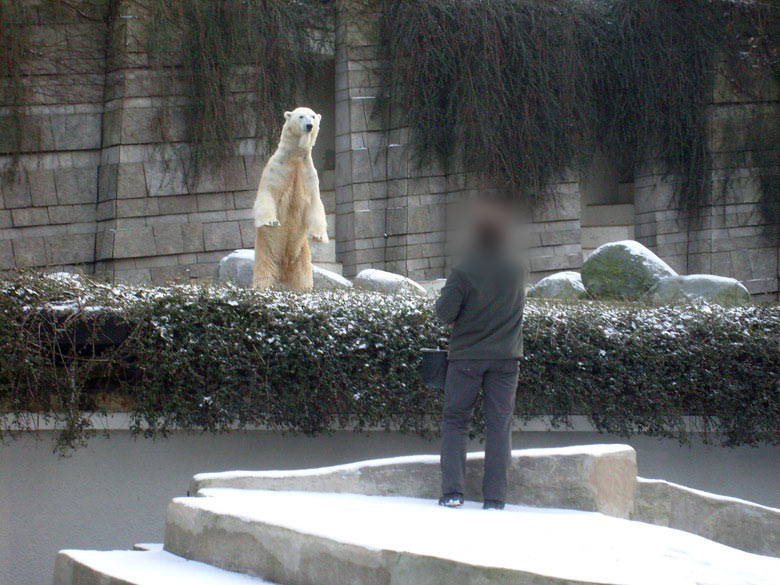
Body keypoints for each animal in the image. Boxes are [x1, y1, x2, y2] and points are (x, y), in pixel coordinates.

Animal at [253, 107, 330, 290]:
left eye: (313, 116)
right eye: (301, 116)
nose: (309, 126)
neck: (295, 156)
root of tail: (284, 269)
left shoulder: (309, 174)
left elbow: (315, 203)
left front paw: (318, 236)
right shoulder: (276, 169)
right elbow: (267, 194)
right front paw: (271, 221)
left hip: (302, 254)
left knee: (303, 279)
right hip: (265, 250)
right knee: (264, 274)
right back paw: (261, 288)